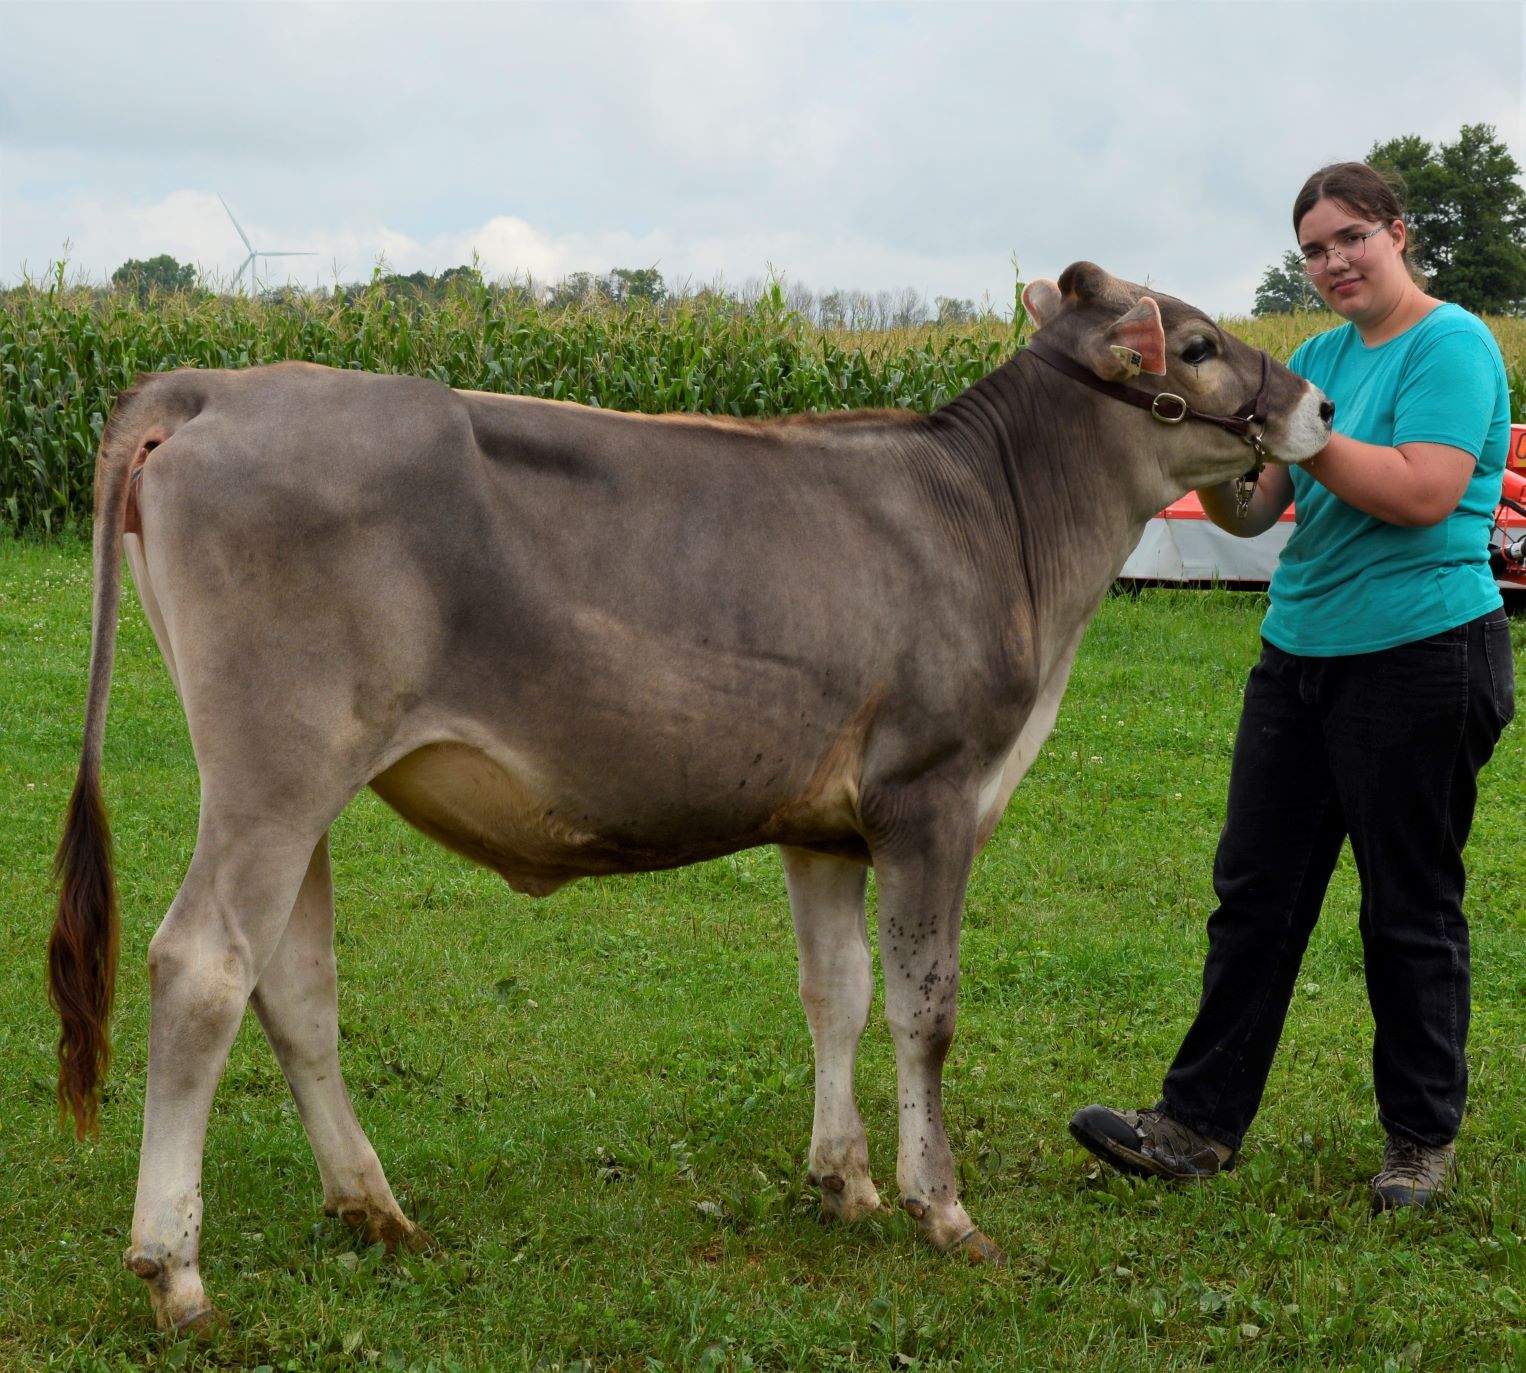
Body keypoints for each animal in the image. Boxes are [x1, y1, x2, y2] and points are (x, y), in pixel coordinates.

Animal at [53, 262, 1330, 1336]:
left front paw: (842, 1179)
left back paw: (372, 1205)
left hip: (295, 783)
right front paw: (942, 1206)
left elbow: (836, 993)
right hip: (277, 767)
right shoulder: (930, 795)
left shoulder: (825, 827)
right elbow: (924, 1009)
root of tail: (215, 385)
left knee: (295, 985)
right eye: (1199, 345)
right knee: (199, 966)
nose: (1317, 403)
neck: (997, 521)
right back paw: (175, 1269)